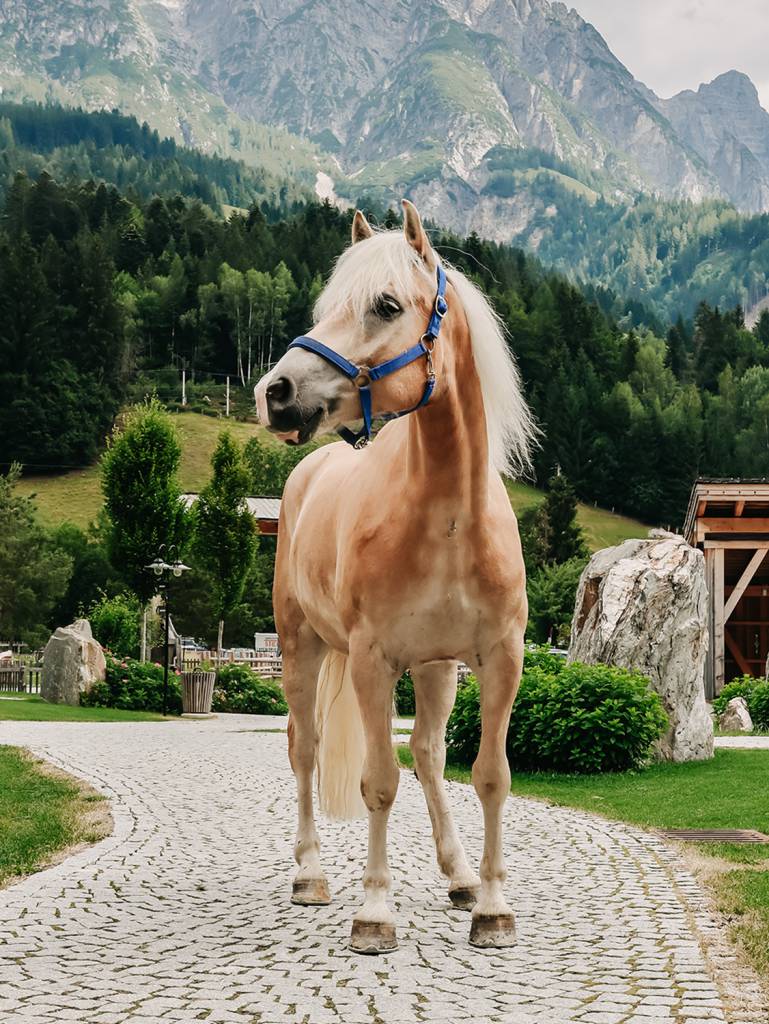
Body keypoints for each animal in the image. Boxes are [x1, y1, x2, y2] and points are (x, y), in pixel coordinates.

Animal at [254, 201, 536, 954]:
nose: (276, 394)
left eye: (385, 304)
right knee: (304, 751)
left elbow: (489, 777)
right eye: (326, 306)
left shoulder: (499, 659)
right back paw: (311, 874)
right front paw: (375, 911)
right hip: (302, 650)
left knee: (429, 756)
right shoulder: (372, 660)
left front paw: (491, 905)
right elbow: (377, 782)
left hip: (436, 670)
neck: (448, 518)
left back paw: (459, 875)